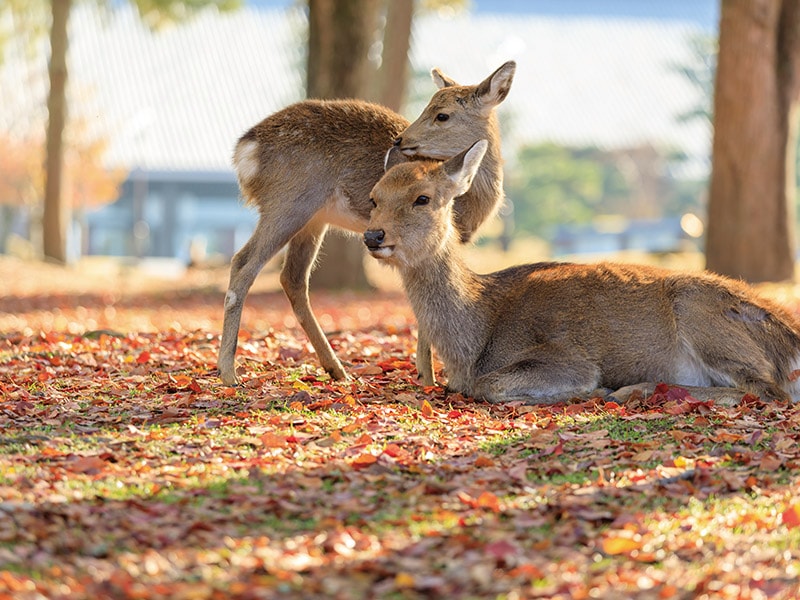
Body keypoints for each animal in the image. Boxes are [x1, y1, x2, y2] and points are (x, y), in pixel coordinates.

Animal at [217, 59, 520, 384]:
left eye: (442, 115)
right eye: (429, 106)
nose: (401, 140)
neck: (471, 201)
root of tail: (245, 151)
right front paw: (427, 378)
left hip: (313, 218)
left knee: (292, 278)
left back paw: (337, 370)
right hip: (287, 202)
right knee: (244, 262)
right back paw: (228, 372)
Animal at [366, 139, 800, 404]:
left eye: (423, 198)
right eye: (374, 198)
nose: (373, 235)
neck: (473, 341)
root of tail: (792, 339)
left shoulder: (568, 358)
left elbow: (489, 385)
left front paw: (587, 391)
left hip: (699, 313)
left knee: (767, 390)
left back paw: (629, 390)